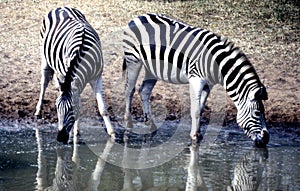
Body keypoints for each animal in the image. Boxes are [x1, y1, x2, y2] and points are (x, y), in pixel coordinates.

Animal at [34, 6, 115, 143]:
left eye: (72, 108)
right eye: (56, 108)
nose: (60, 138)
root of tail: (61, 7)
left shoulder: (97, 77)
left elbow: (102, 108)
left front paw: (112, 133)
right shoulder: (66, 74)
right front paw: (75, 132)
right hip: (44, 55)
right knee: (44, 81)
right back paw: (38, 111)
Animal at [122, 13, 270, 148]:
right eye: (257, 113)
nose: (266, 140)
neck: (216, 64)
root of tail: (137, 17)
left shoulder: (208, 85)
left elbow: (201, 108)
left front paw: (198, 133)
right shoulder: (195, 80)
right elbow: (195, 110)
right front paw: (194, 137)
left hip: (151, 68)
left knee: (144, 91)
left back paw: (150, 124)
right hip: (133, 60)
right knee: (129, 90)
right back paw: (128, 122)